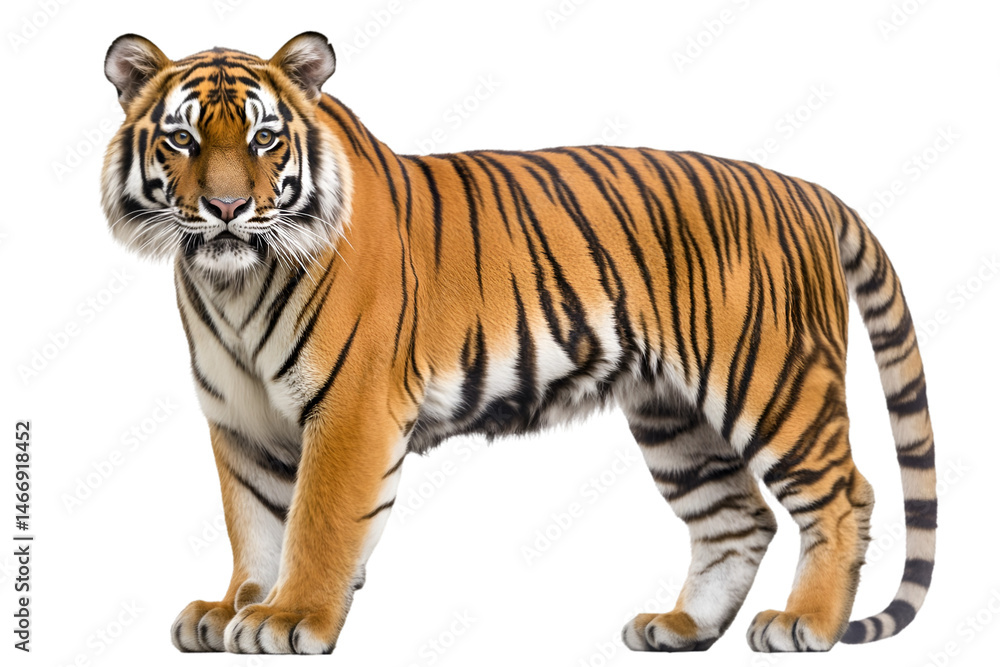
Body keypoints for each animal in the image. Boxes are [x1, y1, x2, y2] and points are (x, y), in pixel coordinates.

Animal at [100, 32, 937, 655]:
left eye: (266, 139)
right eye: (181, 139)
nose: (226, 208)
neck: (233, 284)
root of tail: (807, 189)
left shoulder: (351, 410)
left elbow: (318, 521)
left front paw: (288, 616)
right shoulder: (242, 422)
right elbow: (256, 523)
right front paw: (232, 607)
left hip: (771, 379)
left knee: (842, 494)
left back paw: (806, 623)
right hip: (674, 416)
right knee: (737, 517)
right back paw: (681, 626)